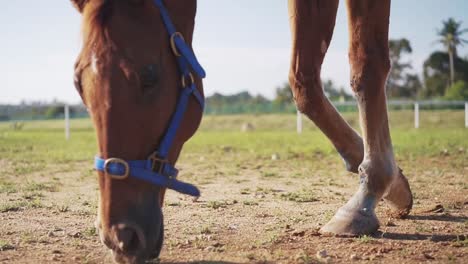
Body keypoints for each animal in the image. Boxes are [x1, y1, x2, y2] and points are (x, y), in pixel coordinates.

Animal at [70, 0, 414, 262]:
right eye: (78, 85)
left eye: (148, 76)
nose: (120, 237)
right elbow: (304, 84)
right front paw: (395, 186)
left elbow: (366, 65)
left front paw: (369, 192)